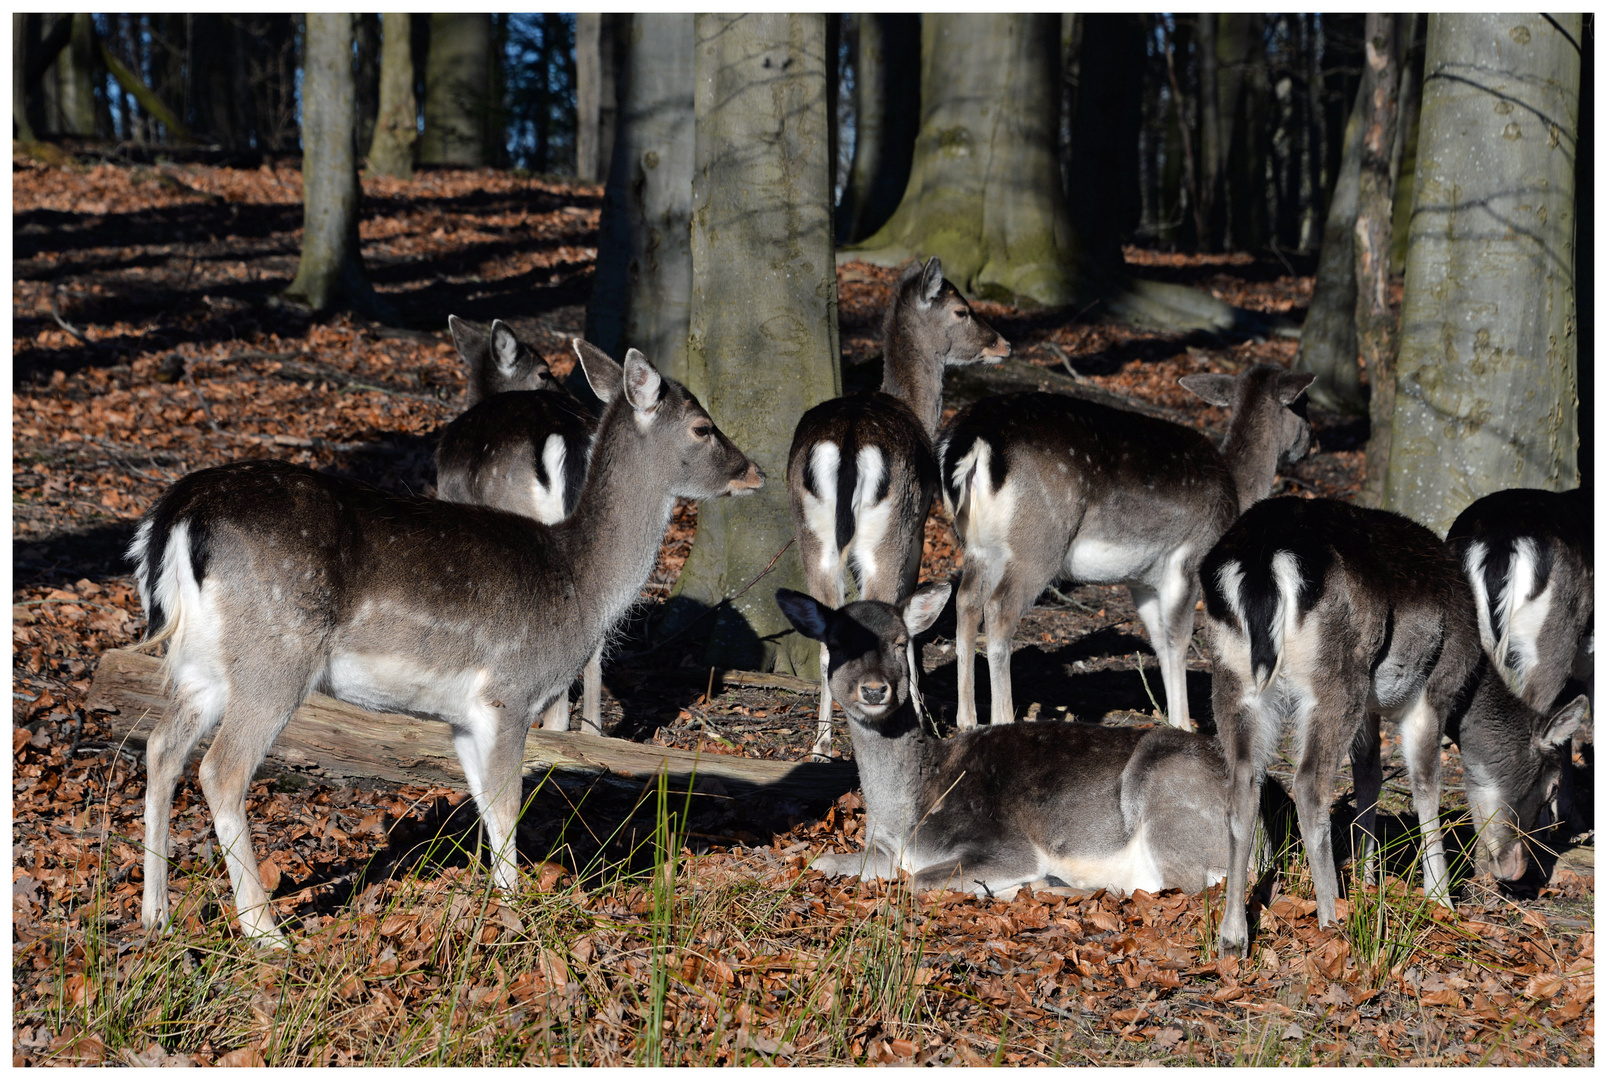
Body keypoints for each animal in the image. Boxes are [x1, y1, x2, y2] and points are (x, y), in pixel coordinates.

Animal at [787, 255, 1002, 758]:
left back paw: (822, 747)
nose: (1002, 342)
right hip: (889, 533)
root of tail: (848, 442)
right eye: (962, 310)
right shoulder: (918, 528)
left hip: (813, 539)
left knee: (828, 638)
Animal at [938, 364, 1311, 732]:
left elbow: (1159, 641)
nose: (1311, 443)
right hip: (1038, 542)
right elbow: (1179, 640)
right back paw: (1002, 719)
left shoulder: (1141, 579)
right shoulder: (1189, 557)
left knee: (966, 601)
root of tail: (970, 439)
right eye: (1303, 405)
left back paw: (966, 720)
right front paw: (1184, 725)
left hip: (977, 544)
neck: (1236, 491)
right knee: (998, 609)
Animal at [1208, 494, 1581, 951]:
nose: (1516, 871)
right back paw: (1332, 921)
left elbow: (1370, 777)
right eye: (1551, 790)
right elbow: (1425, 786)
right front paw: (1441, 899)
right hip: (1336, 679)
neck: (1471, 677)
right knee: (1309, 783)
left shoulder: (1371, 708)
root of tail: (1262, 564)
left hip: (1233, 677)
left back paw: (1233, 936)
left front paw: (1369, 877)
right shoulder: (1432, 693)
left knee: (1243, 780)